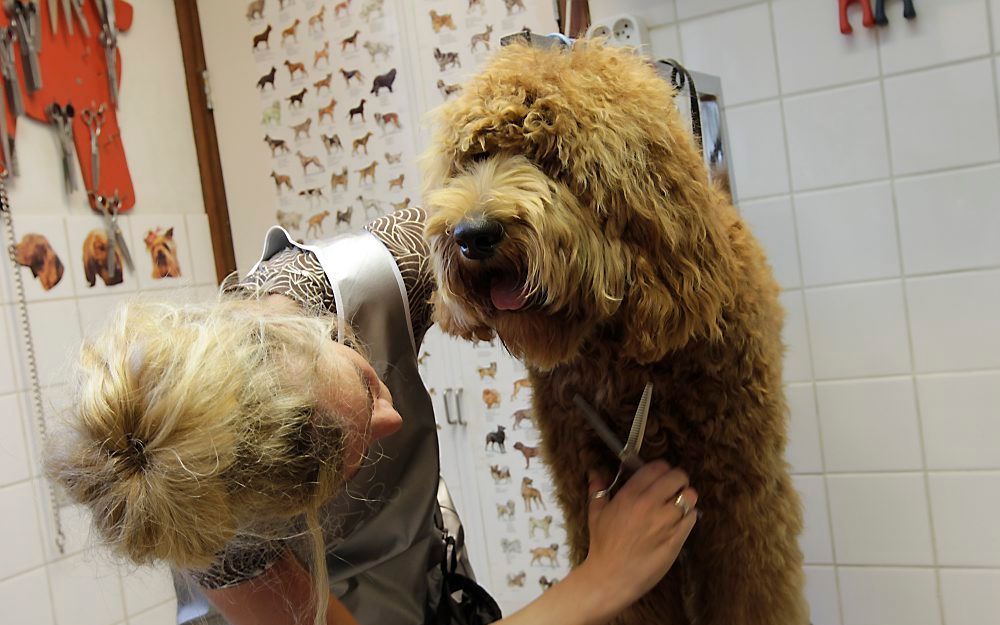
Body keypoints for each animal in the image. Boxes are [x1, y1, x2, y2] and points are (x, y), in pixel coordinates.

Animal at [420, 41, 804, 624]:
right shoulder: (587, 491)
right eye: (475, 157)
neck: (622, 353)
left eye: (550, 158)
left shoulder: (743, 504)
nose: (472, 234)